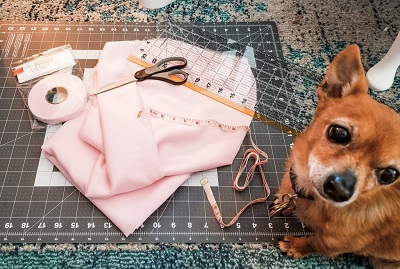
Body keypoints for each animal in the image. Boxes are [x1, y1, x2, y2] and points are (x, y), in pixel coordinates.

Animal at [274, 44, 400, 268]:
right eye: (339, 133)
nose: (341, 190)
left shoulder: (334, 245)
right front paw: (285, 204)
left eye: (389, 175)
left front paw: (295, 246)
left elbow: (314, 242)